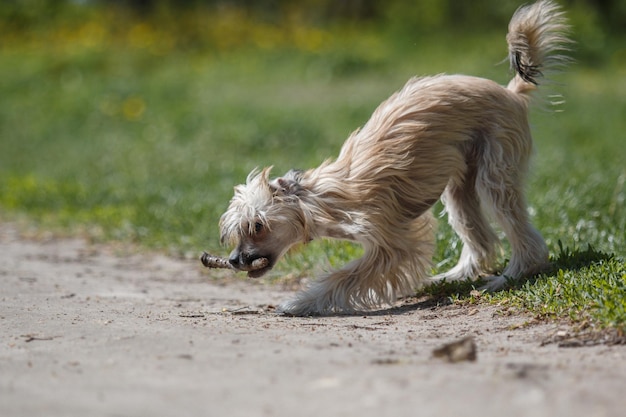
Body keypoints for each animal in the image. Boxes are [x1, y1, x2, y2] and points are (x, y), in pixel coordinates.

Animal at [218, 0, 572, 314]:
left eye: (257, 226)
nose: (233, 260)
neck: (322, 200)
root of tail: (512, 92)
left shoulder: (392, 242)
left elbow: (346, 276)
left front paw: (301, 302)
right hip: (459, 187)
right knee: (481, 242)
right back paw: (451, 278)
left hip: (494, 173)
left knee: (525, 240)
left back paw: (507, 278)